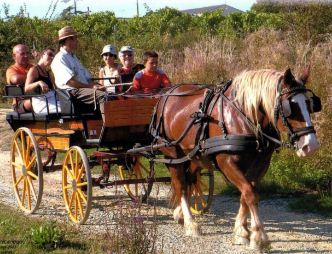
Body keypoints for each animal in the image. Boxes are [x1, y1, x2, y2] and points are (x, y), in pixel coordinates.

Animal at [151, 67, 322, 250]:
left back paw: (180, 214)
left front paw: (241, 231)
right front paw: (258, 236)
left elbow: (246, 194)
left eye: (310, 105)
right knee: (180, 185)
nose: (311, 146)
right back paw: (191, 223)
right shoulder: (227, 163)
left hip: (194, 156)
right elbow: (250, 194)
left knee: (190, 180)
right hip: (172, 154)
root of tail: (167, 94)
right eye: (291, 107)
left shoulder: (260, 164)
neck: (244, 117)